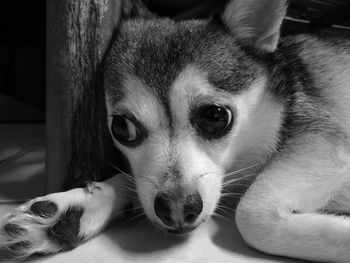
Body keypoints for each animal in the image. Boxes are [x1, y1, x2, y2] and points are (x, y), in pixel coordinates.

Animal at [0, 0, 350, 262]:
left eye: (215, 116)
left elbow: (251, 216)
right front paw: (73, 210)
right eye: (121, 127)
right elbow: (133, 181)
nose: (178, 210)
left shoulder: (326, 143)